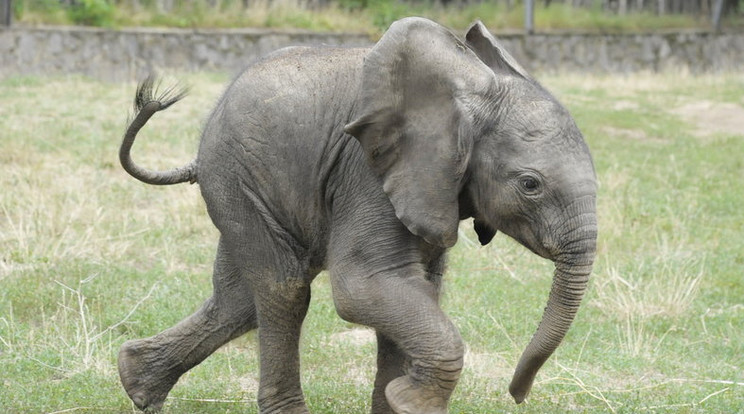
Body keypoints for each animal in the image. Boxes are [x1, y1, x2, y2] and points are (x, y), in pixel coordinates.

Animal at [120, 17, 600, 414]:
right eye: (530, 185)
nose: (517, 395)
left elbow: (416, 289)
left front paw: (401, 398)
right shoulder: (368, 173)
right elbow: (365, 286)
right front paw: (412, 399)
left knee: (239, 299)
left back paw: (137, 386)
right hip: (235, 178)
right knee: (283, 289)